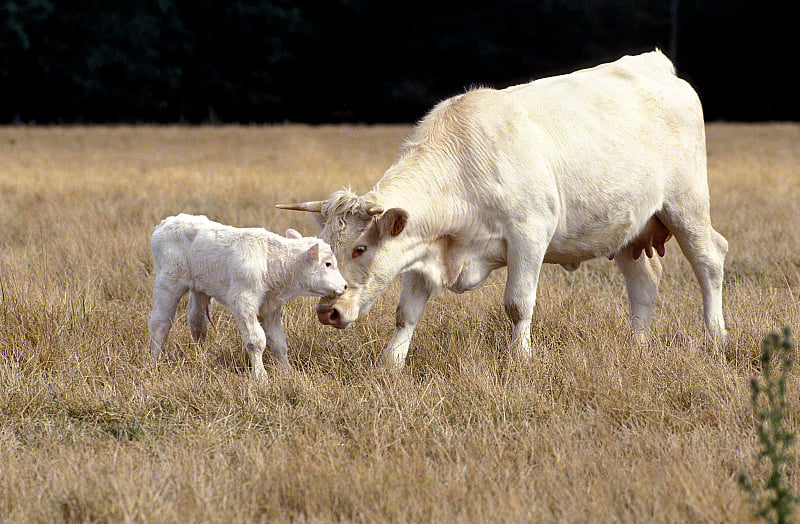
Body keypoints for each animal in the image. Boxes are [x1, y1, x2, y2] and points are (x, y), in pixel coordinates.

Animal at [148, 214, 346, 380]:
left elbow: (278, 343)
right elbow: (256, 340)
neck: (270, 260)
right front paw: (260, 377)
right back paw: (153, 362)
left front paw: (288, 372)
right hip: (168, 283)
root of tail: (164, 223)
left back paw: (202, 357)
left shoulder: (271, 309)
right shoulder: (243, 303)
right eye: (327, 264)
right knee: (160, 323)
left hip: (200, 289)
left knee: (198, 322)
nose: (344, 286)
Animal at [278, 50, 728, 368]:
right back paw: (637, 344)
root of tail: (656, 65)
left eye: (359, 249)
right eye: (326, 252)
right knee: (644, 281)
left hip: (686, 205)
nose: (328, 311)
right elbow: (406, 313)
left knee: (709, 260)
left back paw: (716, 337)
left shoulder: (529, 236)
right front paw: (391, 364)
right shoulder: (423, 251)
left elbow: (518, 303)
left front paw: (520, 358)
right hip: (629, 227)